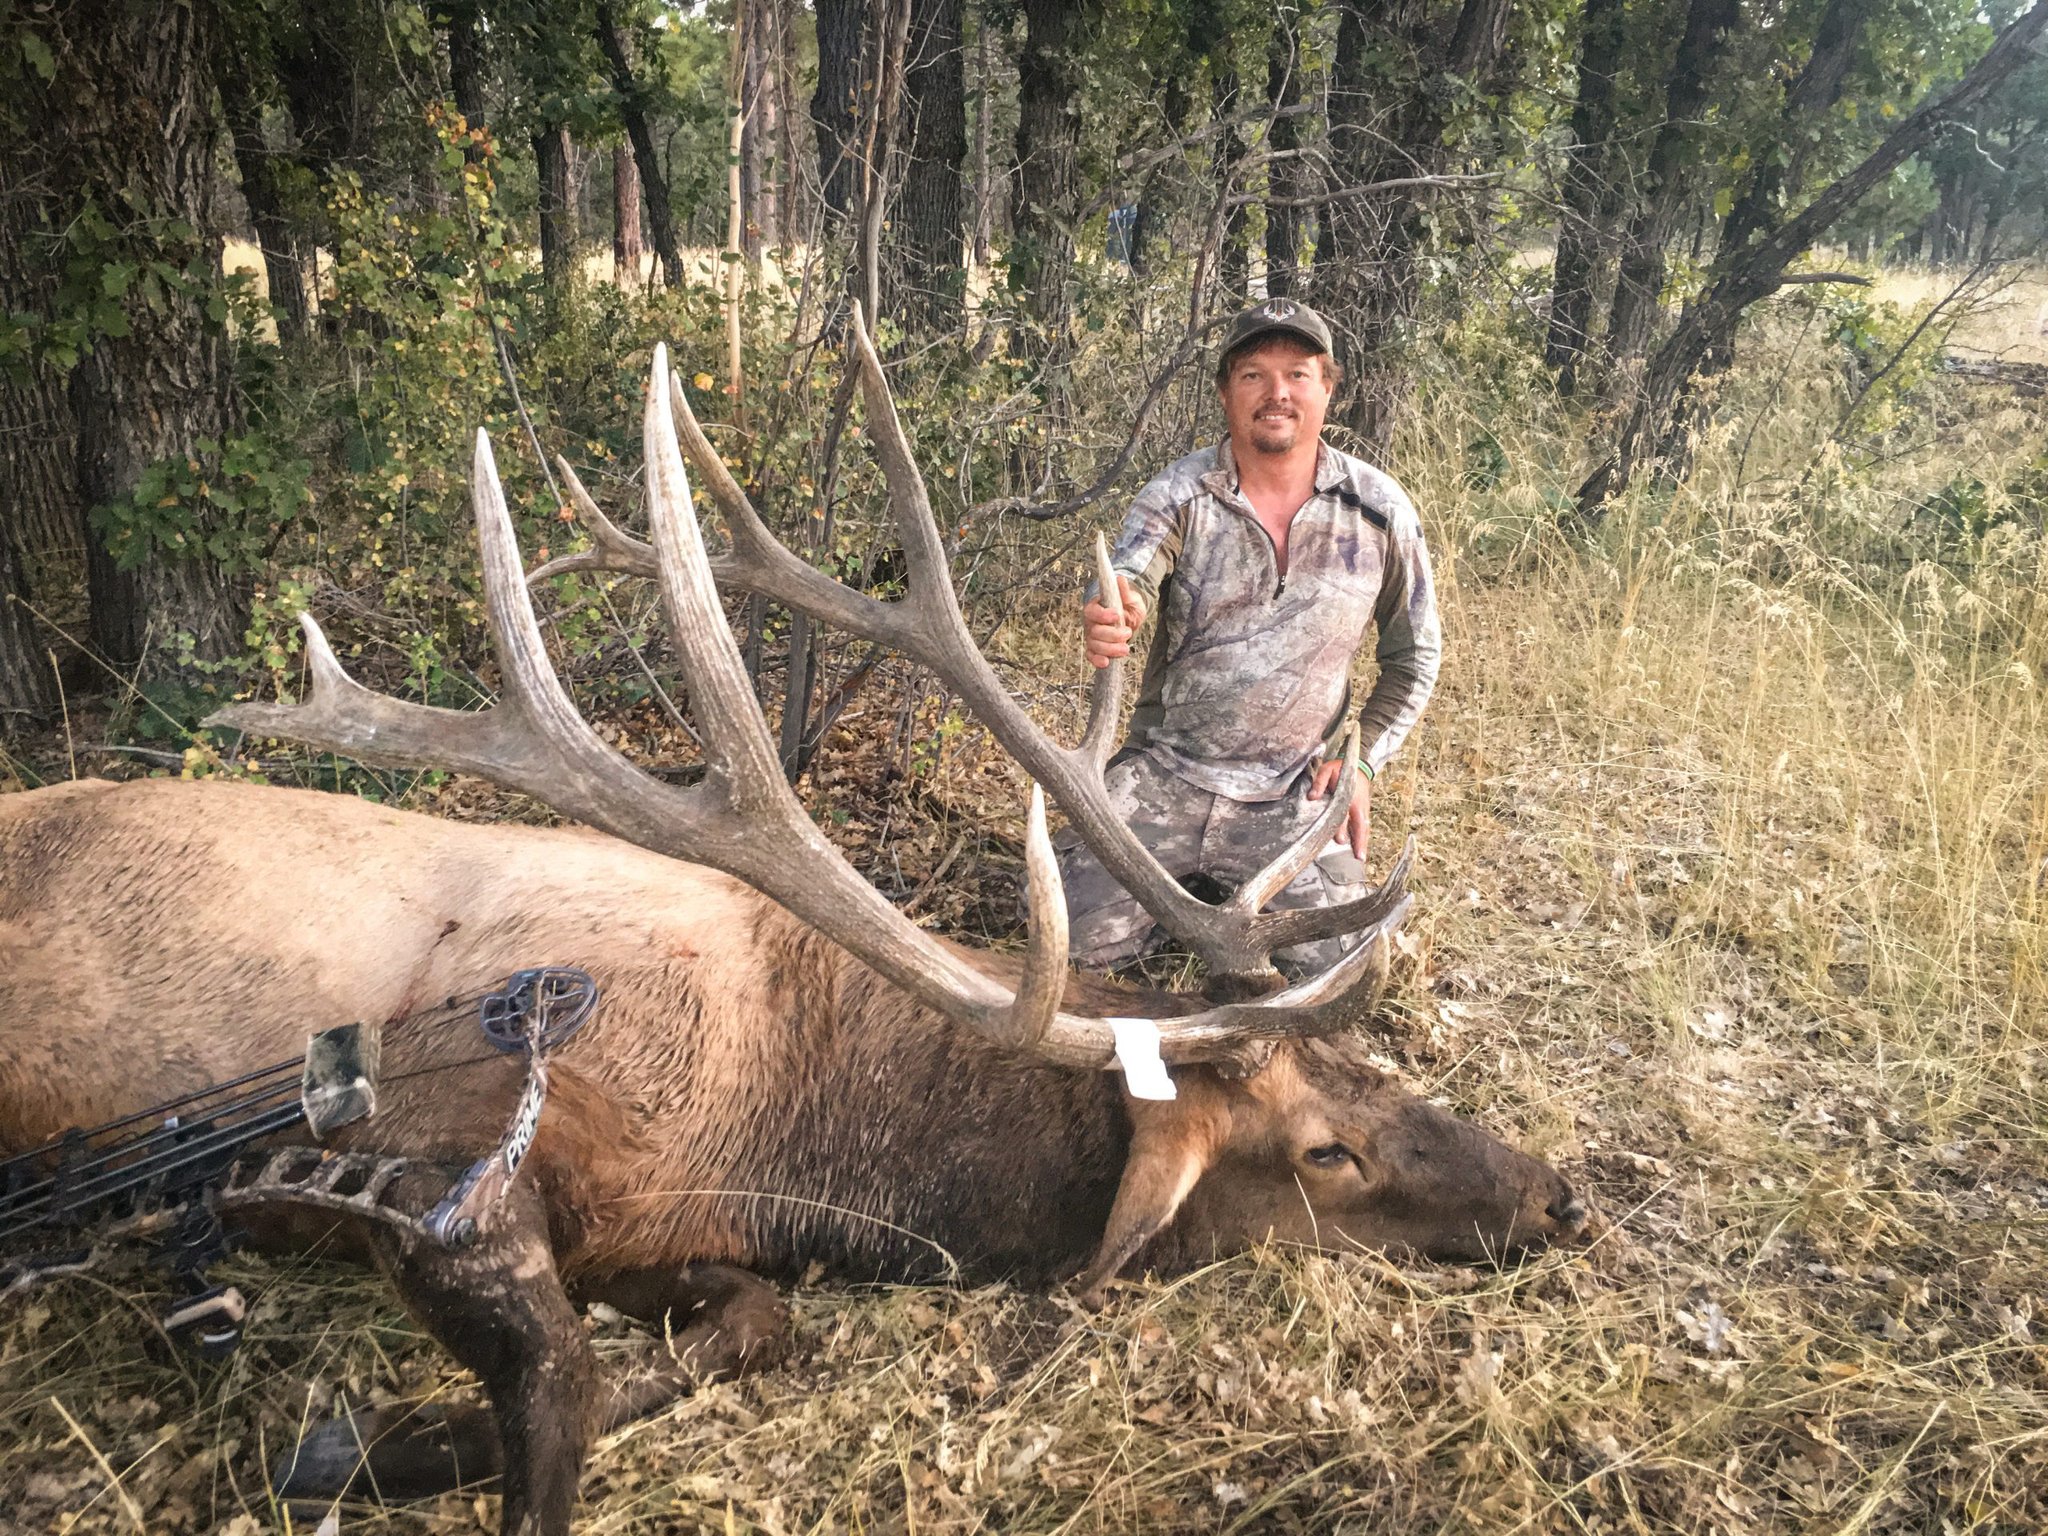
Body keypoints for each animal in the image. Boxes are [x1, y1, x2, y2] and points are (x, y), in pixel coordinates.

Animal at [0, 313, 1586, 1536]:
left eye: (1371, 1068)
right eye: (1325, 1152)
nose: (1556, 1194)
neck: (797, 1121)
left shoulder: (664, 1229)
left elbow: (744, 1320)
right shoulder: (440, 1136)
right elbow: (573, 1367)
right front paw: (358, 1443)